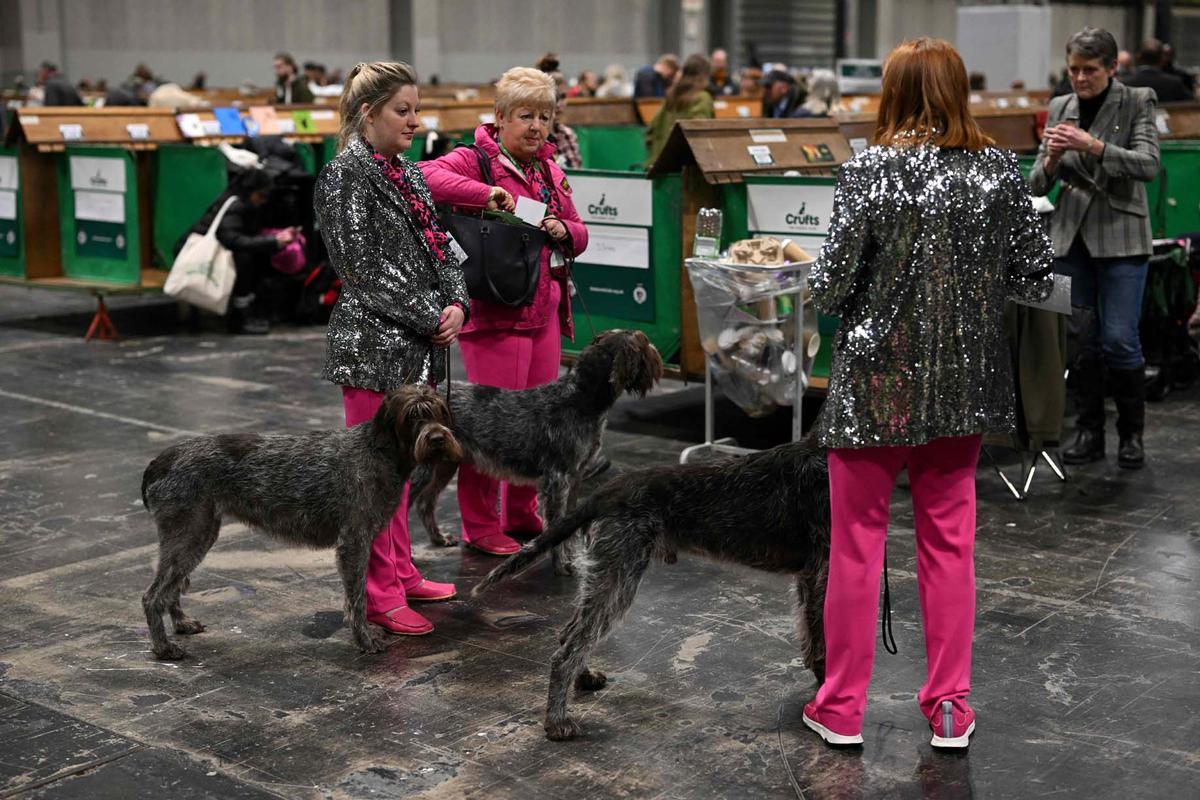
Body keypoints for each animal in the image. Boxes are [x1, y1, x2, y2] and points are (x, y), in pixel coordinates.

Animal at [138, 383, 460, 662]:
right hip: (189, 533)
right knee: (153, 596)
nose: (437, 439)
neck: (379, 451)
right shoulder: (354, 541)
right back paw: (164, 647)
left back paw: (181, 623)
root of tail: (159, 461)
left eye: (439, 411)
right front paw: (364, 639)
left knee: (170, 589)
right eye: (412, 416)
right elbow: (357, 598)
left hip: (198, 535)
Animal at [410, 326, 657, 575]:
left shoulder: (575, 476)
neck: (581, 397)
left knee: (424, 504)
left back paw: (439, 538)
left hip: (444, 464)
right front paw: (561, 565)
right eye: (643, 342)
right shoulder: (557, 479)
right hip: (421, 469)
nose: (656, 352)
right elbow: (556, 524)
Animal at [472, 438, 830, 743]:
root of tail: (604, 492)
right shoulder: (823, 572)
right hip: (620, 577)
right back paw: (557, 722)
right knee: (568, 650)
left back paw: (583, 678)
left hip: (606, 574)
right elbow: (822, 637)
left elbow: (809, 633)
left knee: (571, 633)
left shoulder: (807, 577)